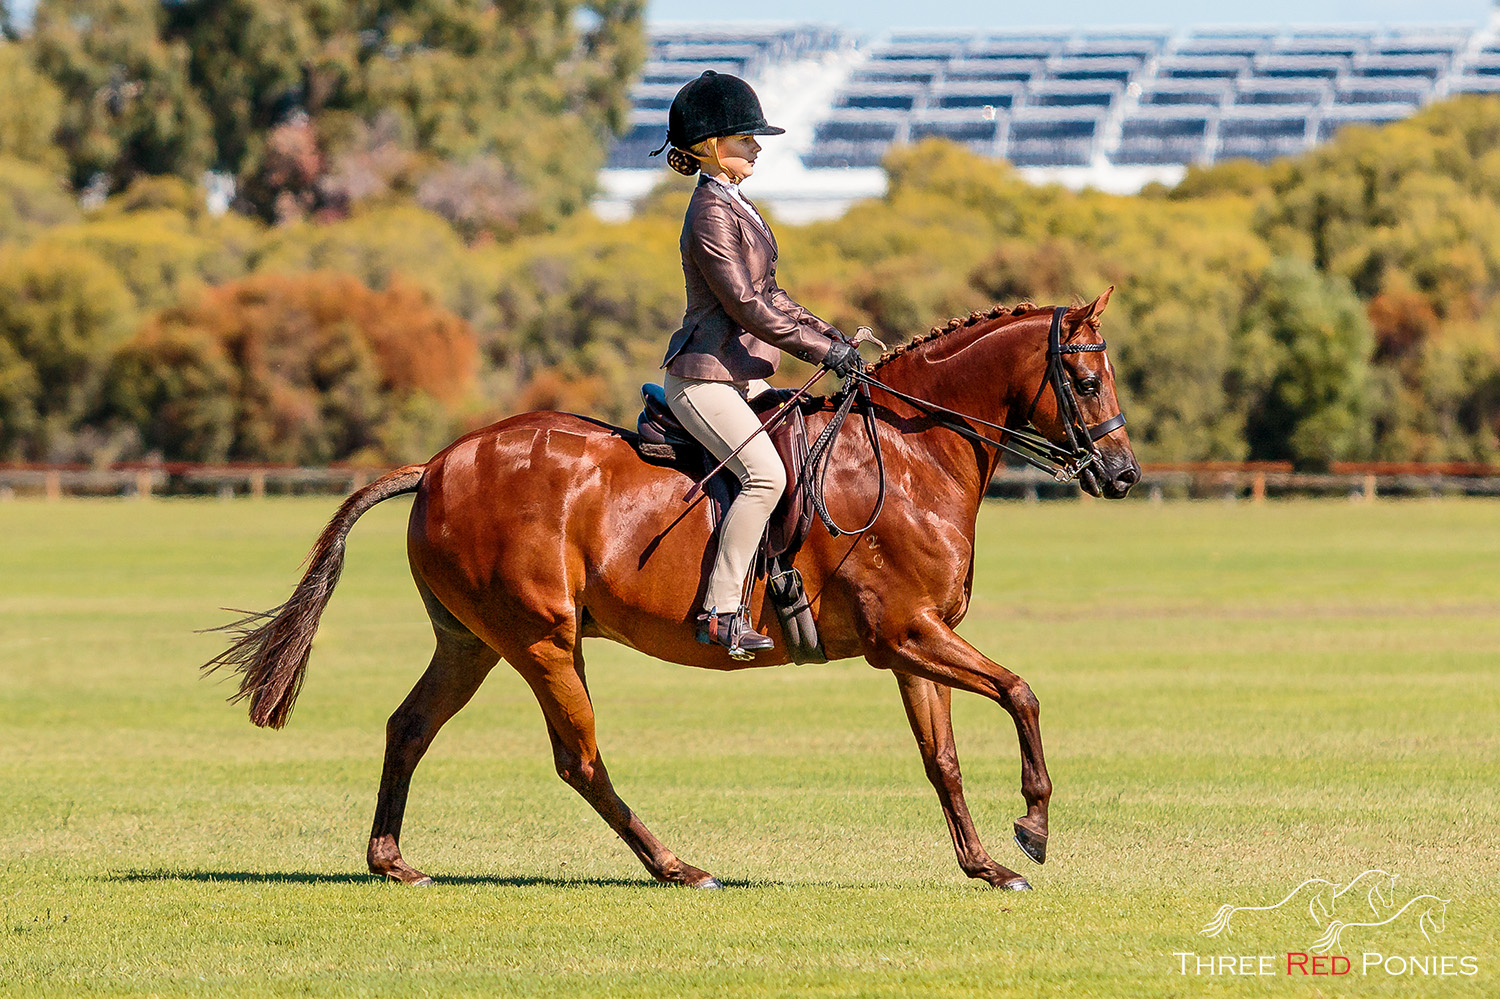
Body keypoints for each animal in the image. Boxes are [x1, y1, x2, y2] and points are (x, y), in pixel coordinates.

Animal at [208, 288, 1134, 888]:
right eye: (1087, 381)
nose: (1122, 475)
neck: (908, 455)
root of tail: (437, 465)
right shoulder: (908, 634)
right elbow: (1020, 691)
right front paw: (1034, 825)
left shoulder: (915, 642)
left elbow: (942, 757)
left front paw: (987, 864)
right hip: (542, 638)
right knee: (579, 758)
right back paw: (678, 866)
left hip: (472, 642)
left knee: (409, 727)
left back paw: (393, 861)